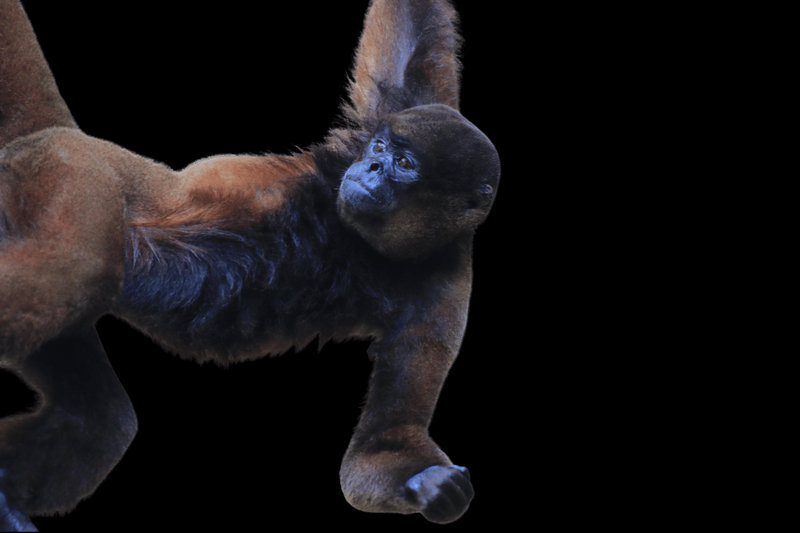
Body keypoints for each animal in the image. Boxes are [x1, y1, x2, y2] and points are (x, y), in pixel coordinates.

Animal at [0, 0, 500, 529]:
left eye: (404, 165)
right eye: (381, 149)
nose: (370, 168)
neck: (366, 242)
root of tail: (55, 134)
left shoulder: (444, 289)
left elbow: (380, 445)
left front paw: (422, 483)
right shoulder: (390, 114)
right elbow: (411, 34)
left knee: (100, 418)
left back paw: (8, 495)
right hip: (74, 170)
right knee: (73, 266)